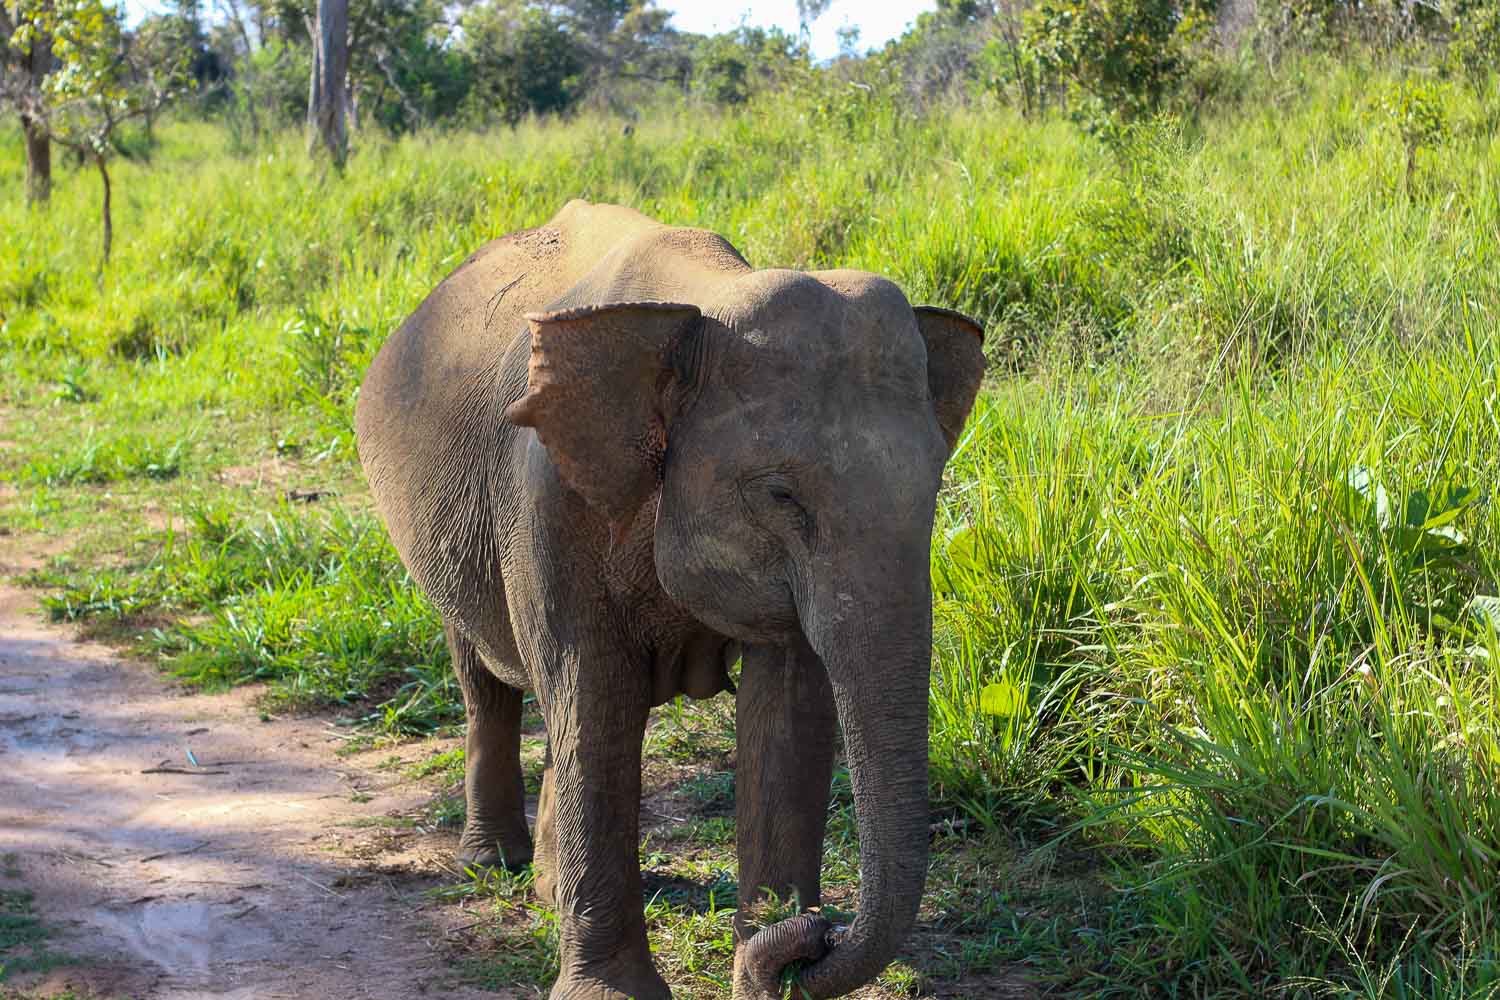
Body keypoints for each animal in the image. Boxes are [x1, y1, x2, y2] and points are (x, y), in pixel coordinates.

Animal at [354, 200, 984, 1000]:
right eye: (780, 495)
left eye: (935, 485)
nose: (811, 936)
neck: (698, 306)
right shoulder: (546, 502)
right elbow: (594, 696)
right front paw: (610, 994)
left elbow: (788, 711)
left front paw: (759, 961)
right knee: (487, 678)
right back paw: (492, 862)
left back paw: (546, 888)